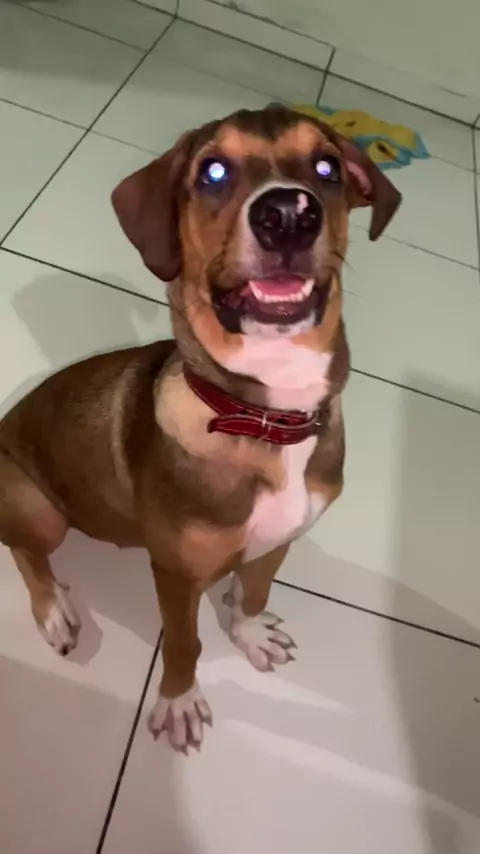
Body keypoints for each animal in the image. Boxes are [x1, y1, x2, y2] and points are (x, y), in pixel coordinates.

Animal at [0, 106, 401, 751]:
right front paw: (179, 700)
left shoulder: (279, 539)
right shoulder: (177, 576)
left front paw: (250, 633)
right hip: (39, 510)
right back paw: (54, 609)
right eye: (213, 172)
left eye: (326, 167)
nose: (289, 213)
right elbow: (185, 644)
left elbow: (256, 592)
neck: (266, 415)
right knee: (24, 552)